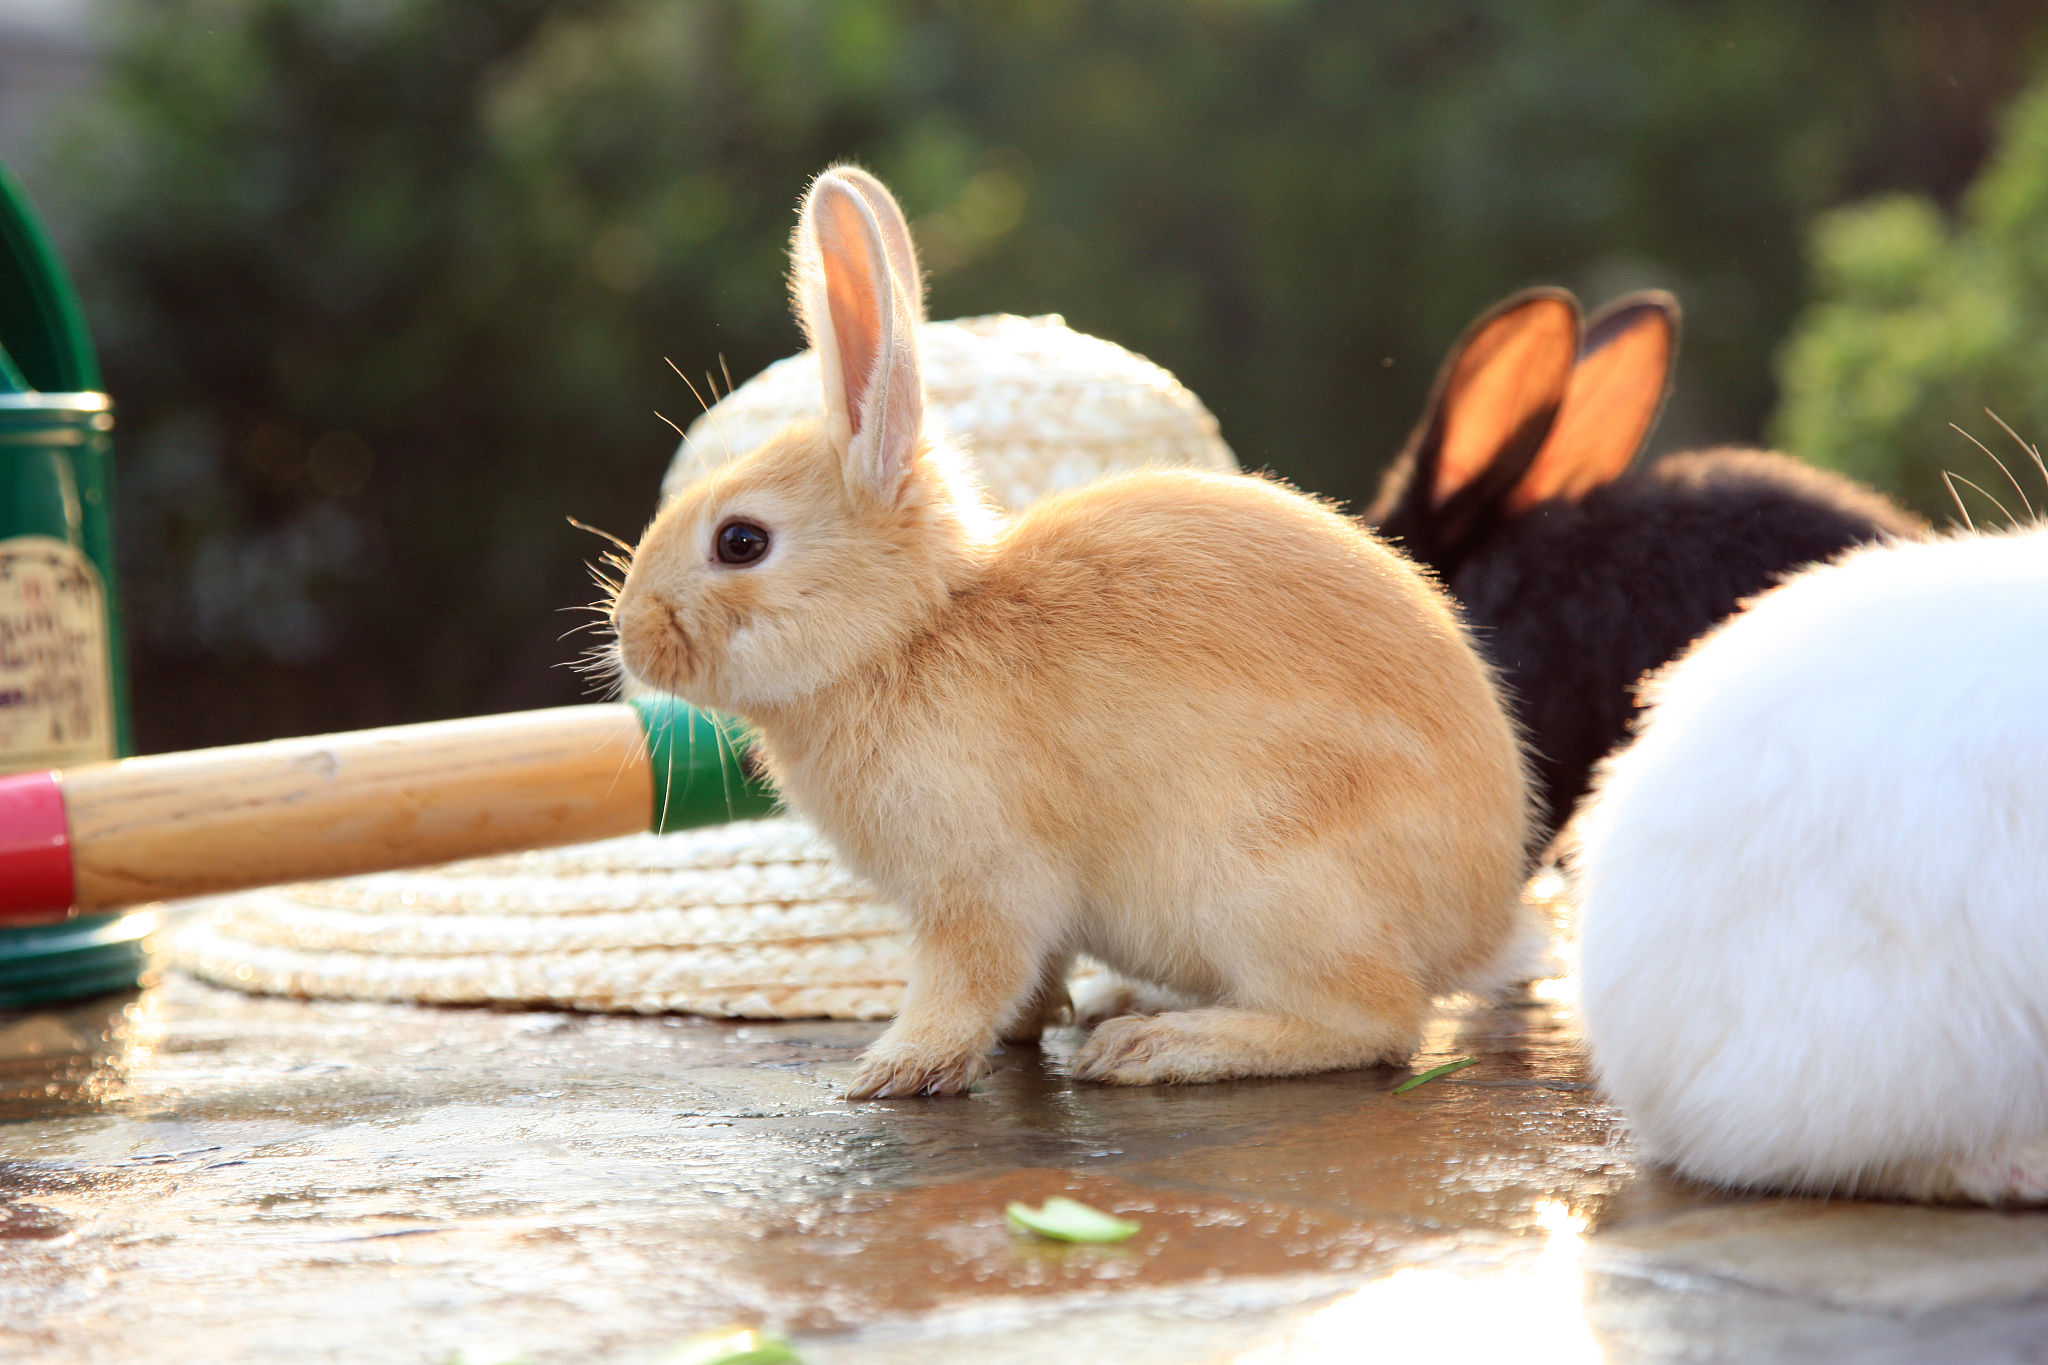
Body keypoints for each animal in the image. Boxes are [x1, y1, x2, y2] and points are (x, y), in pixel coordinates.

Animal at [610, 167, 1540, 1096]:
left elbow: (967, 977)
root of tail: (1482, 926)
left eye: (741, 541)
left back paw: (1154, 1046)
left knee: (1373, 1019)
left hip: (1264, 881)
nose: (628, 633)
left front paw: (894, 1067)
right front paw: (1019, 1030)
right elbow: (1028, 978)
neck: (910, 633)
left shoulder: (982, 884)